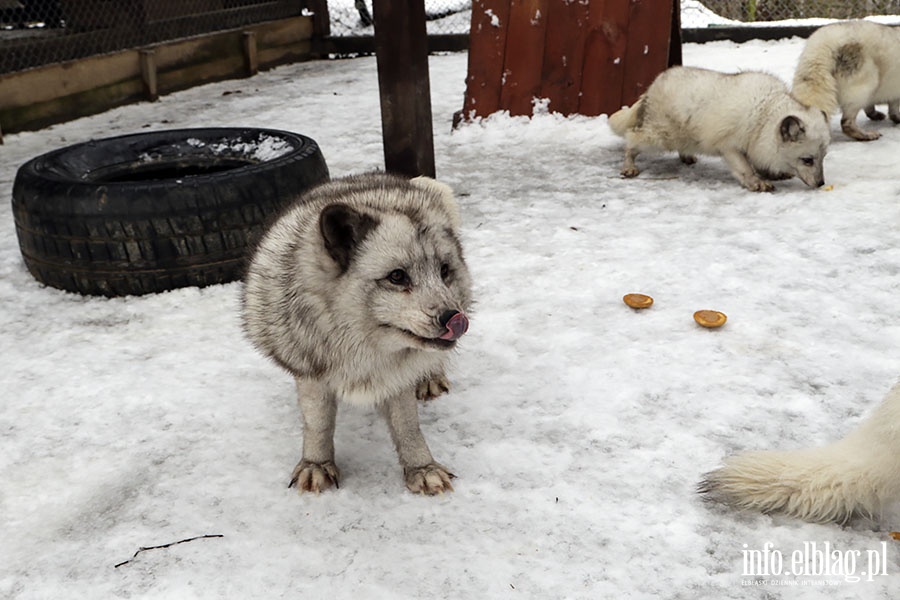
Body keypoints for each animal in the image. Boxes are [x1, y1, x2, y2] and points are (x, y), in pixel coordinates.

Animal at [243, 171, 474, 494]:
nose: (455, 318)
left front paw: (422, 467)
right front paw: (316, 464)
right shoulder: (310, 370)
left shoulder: (397, 376)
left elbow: (408, 426)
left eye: (443, 271)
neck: (362, 348)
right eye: (397, 276)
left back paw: (429, 376)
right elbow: (318, 423)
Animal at [608, 67, 832, 191]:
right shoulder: (729, 146)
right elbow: (744, 168)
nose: (821, 183)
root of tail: (651, 87)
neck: (763, 114)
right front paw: (756, 182)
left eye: (823, 158)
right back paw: (628, 166)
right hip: (658, 137)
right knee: (631, 140)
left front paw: (770, 174)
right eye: (807, 160)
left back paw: (686, 157)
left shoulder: (755, 144)